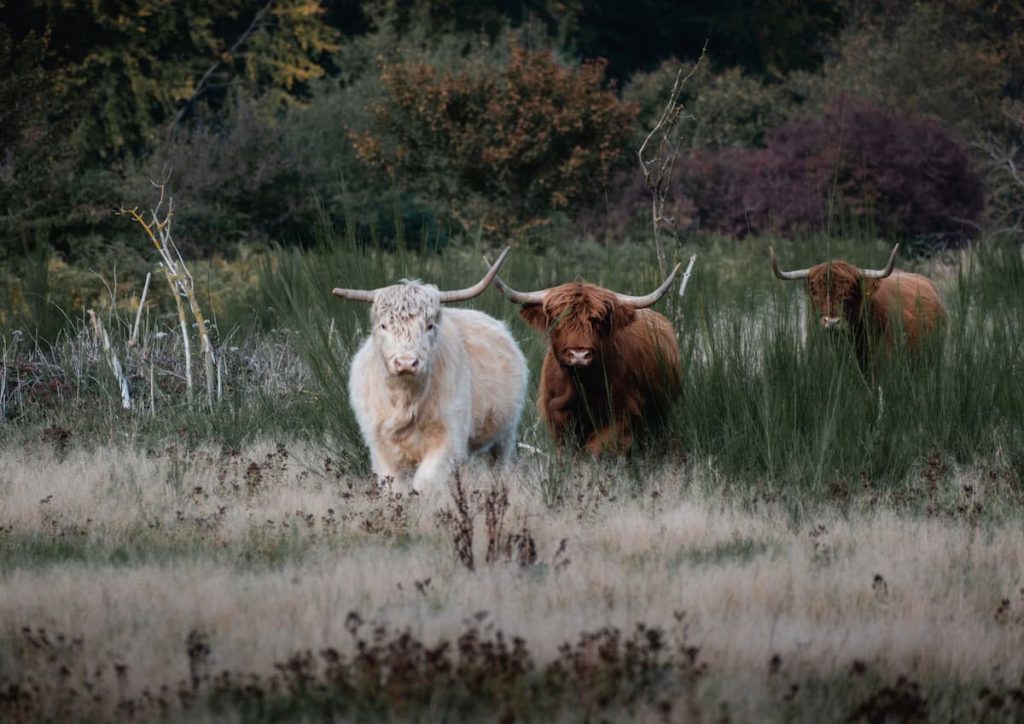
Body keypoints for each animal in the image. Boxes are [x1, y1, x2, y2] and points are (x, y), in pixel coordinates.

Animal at [335, 247, 528, 493]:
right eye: (383, 326)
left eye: (429, 326)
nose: (406, 362)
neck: (405, 400)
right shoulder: (379, 446)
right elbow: (393, 487)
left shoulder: (448, 440)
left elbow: (425, 483)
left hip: (506, 434)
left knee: (501, 465)